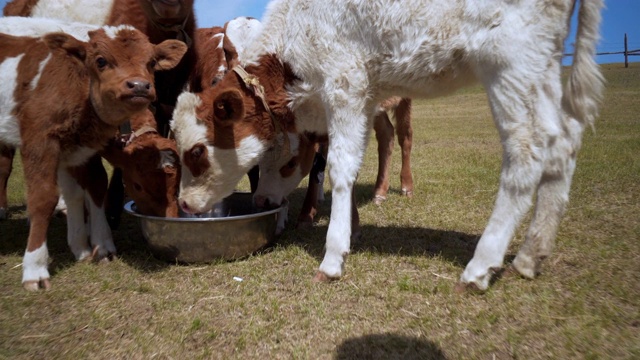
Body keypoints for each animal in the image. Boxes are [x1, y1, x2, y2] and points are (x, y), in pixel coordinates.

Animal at [0, 24, 188, 290]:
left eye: (151, 62)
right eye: (100, 60)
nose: (139, 85)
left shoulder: (79, 147)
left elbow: (90, 188)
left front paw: (90, 246)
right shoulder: (40, 141)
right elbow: (43, 198)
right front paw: (35, 269)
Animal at [171, 0, 604, 292]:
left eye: (197, 152)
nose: (184, 205)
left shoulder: (345, 84)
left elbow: (340, 167)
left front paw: (333, 256)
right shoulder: (362, 98)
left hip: (511, 65)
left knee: (527, 151)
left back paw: (480, 266)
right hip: (541, 69)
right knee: (563, 143)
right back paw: (531, 256)